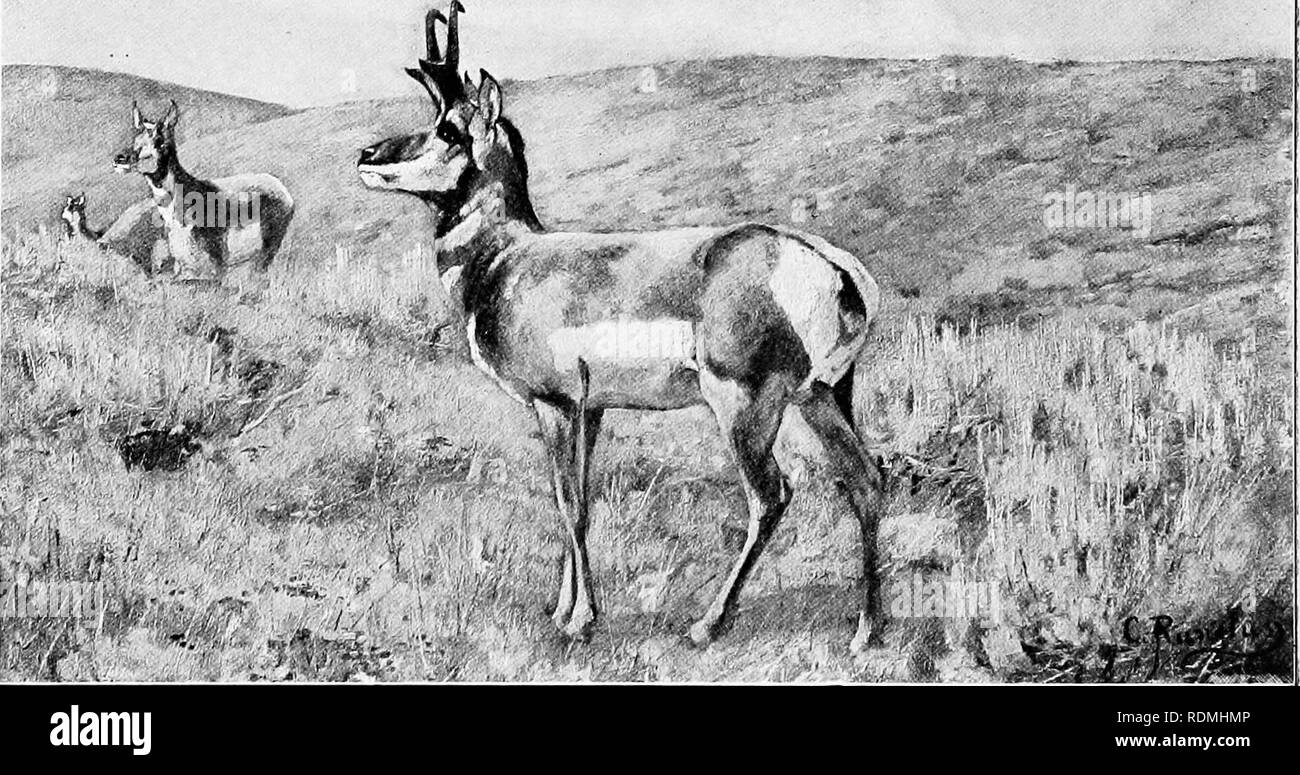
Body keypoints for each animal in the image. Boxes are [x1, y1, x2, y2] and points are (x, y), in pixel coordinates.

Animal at [113, 100, 295, 280]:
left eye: (159, 139)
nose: (119, 158)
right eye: (136, 136)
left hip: (266, 252)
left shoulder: (217, 268)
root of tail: (280, 187)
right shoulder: (183, 267)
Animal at [359, 4, 886, 651]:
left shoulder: (556, 404)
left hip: (746, 408)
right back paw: (866, 630)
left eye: (450, 129)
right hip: (823, 397)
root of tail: (830, 262)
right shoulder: (592, 410)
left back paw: (707, 624)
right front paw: (562, 609)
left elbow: (570, 506)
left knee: (771, 496)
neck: (508, 255)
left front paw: (581, 620)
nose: (366, 154)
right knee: (865, 480)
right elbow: (580, 498)